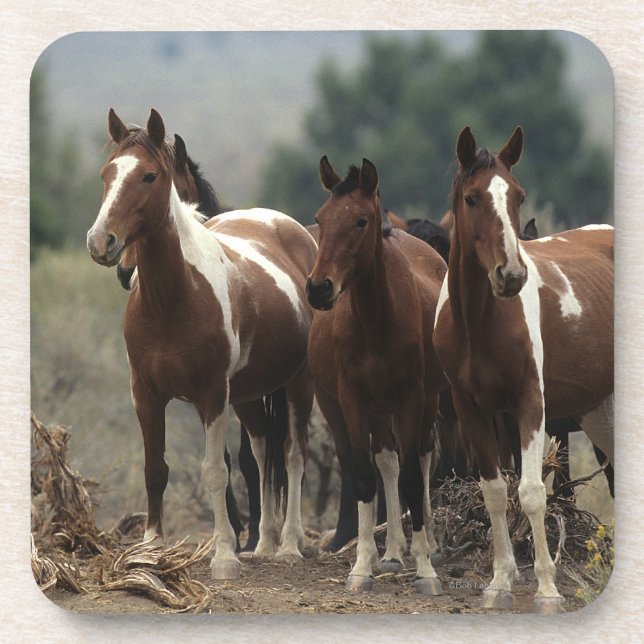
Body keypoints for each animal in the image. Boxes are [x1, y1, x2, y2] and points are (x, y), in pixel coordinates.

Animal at [87, 108, 317, 579]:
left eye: (149, 175)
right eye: (107, 173)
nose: (101, 242)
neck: (173, 297)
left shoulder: (211, 395)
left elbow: (215, 471)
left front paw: (224, 555)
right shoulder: (146, 394)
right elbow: (155, 469)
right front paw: (150, 549)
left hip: (298, 384)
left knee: (293, 454)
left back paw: (288, 544)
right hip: (248, 395)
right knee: (262, 450)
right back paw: (264, 542)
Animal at [306, 157, 448, 594]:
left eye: (361, 220)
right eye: (320, 217)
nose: (319, 288)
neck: (376, 320)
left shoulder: (412, 396)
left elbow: (413, 478)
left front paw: (426, 571)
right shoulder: (352, 399)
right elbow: (367, 475)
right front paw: (362, 566)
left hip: (426, 400)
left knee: (421, 459)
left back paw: (428, 546)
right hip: (370, 407)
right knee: (387, 461)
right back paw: (393, 553)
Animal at [433, 126, 614, 612]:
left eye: (518, 195)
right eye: (472, 198)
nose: (510, 275)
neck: (481, 323)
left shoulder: (530, 403)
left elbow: (532, 493)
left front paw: (548, 590)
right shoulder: (472, 410)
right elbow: (495, 493)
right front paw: (499, 583)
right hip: (599, 411)